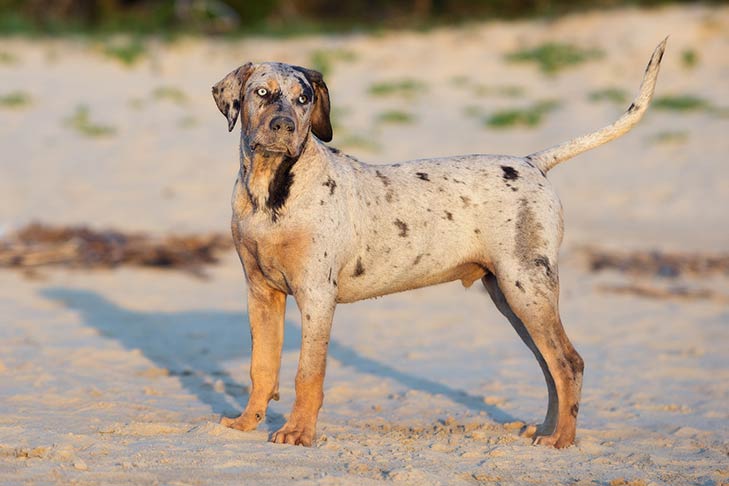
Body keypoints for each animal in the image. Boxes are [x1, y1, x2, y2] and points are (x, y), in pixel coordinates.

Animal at [209, 39, 664, 448]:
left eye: (303, 99)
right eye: (262, 93)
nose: (284, 127)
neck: (270, 190)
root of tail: (532, 163)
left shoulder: (317, 296)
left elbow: (308, 374)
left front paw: (298, 434)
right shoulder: (261, 294)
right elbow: (261, 367)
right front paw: (246, 423)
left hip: (527, 289)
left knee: (569, 363)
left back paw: (562, 440)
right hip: (512, 297)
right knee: (549, 364)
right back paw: (547, 431)